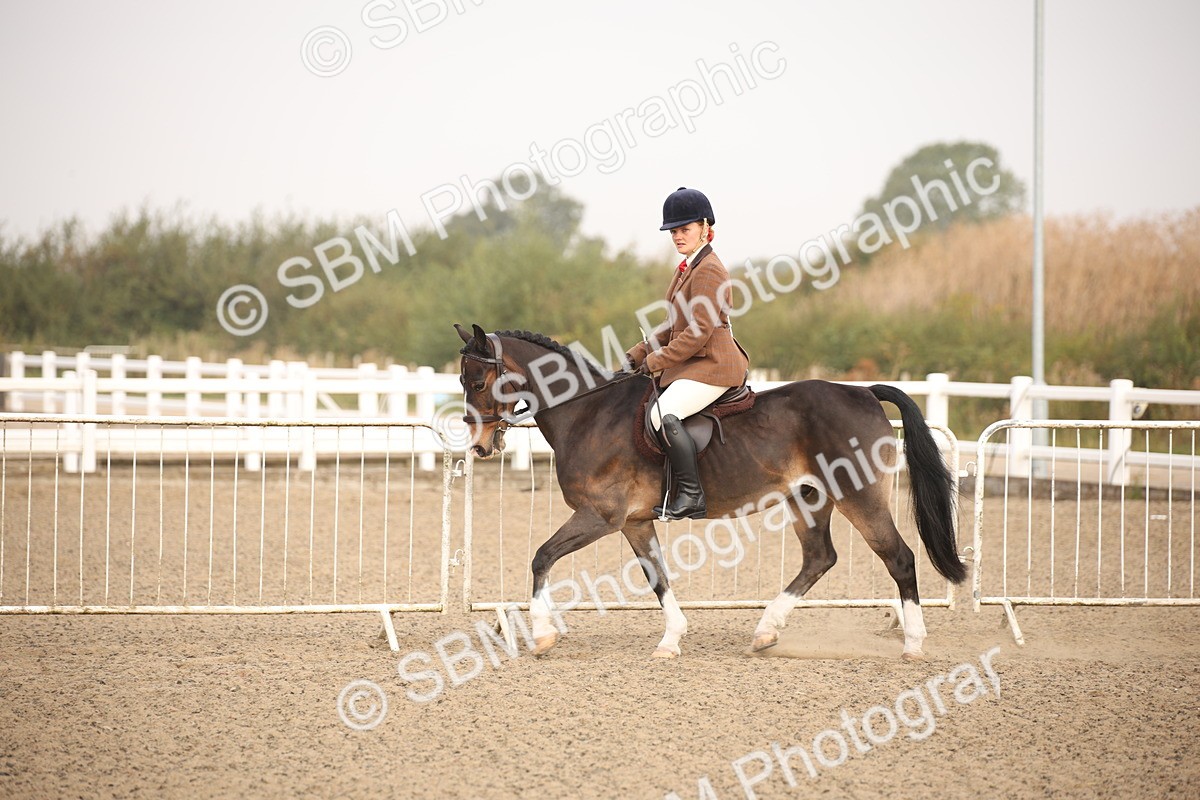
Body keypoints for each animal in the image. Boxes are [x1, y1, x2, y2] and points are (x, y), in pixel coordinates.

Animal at [454, 324, 966, 661]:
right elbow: (657, 577)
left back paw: (913, 644)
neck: (588, 411)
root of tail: (862, 392)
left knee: (898, 557)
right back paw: (765, 631)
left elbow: (541, 557)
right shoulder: (634, 522)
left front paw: (542, 635)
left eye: (476, 382)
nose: (479, 446)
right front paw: (670, 640)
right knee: (820, 558)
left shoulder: (600, 516)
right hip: (808, 499)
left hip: (857, 496)